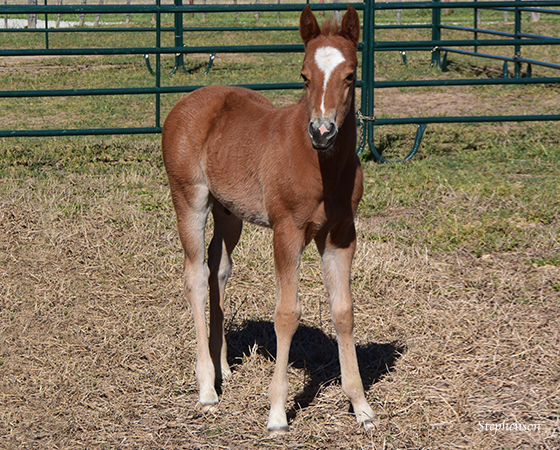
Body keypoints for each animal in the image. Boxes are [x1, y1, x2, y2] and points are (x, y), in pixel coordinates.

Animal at [163, 4, 372, 432]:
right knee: (195, 276)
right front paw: (277, 412)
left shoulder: (341, 235)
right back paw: (206, 388)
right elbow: (287, 314)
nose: (322, 131)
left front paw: (361, 406)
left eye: (350, 75)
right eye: (304, 75)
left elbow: (344, 311)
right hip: (189, 199)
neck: (321, 166)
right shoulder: (287, 231)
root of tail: (186, 103)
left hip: (229, 213)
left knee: (218, 268)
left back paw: (223, 368)